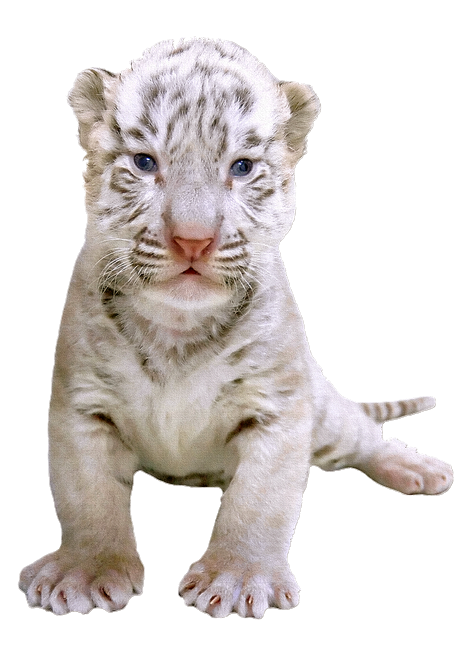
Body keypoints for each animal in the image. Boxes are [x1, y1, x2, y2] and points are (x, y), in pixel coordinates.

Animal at [18, 36, 453, 619]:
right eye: (144, 162)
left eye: (242, 167)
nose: (193, 239)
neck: (177, 328)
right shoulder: (80, 404)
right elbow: (86, 495)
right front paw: (84, 571)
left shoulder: (279, 407)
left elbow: (260, 501)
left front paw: (237, 578)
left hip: (329, 420)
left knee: (367, 438)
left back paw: (421, 471)